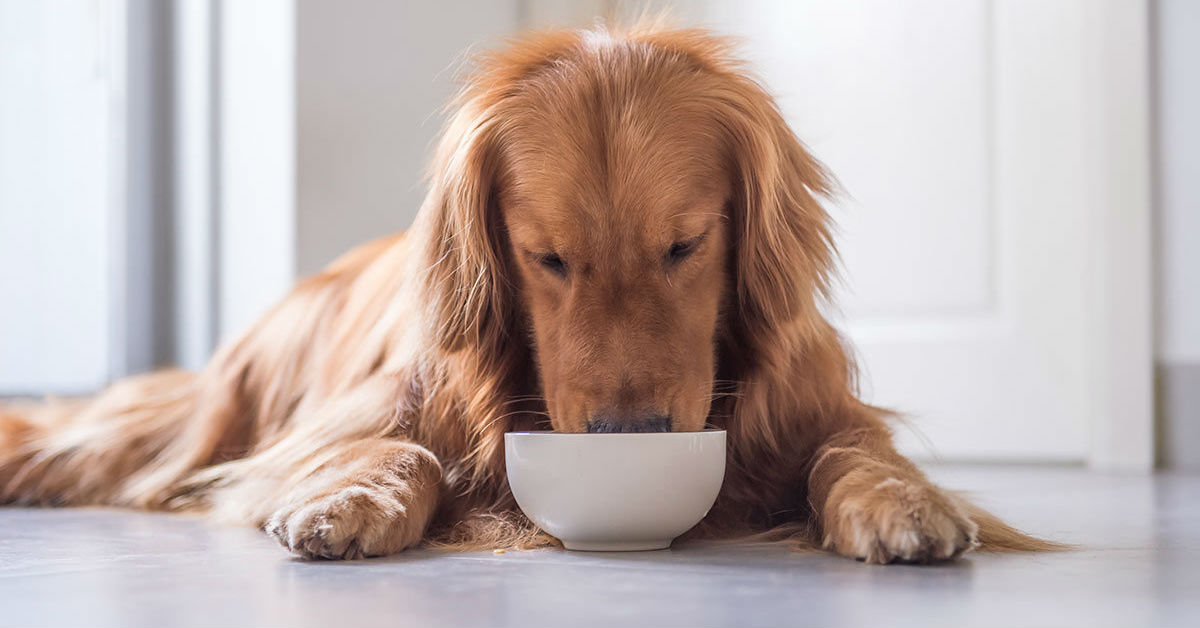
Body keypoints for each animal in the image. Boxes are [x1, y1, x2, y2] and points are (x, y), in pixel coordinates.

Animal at [0, 24, 1051, 564]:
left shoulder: (821, 408)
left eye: (685, 245)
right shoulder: (354, 418)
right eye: (547, 258)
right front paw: (354, 498)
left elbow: (851, 453)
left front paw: (900, 502)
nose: (629, 437)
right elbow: (399, 450)